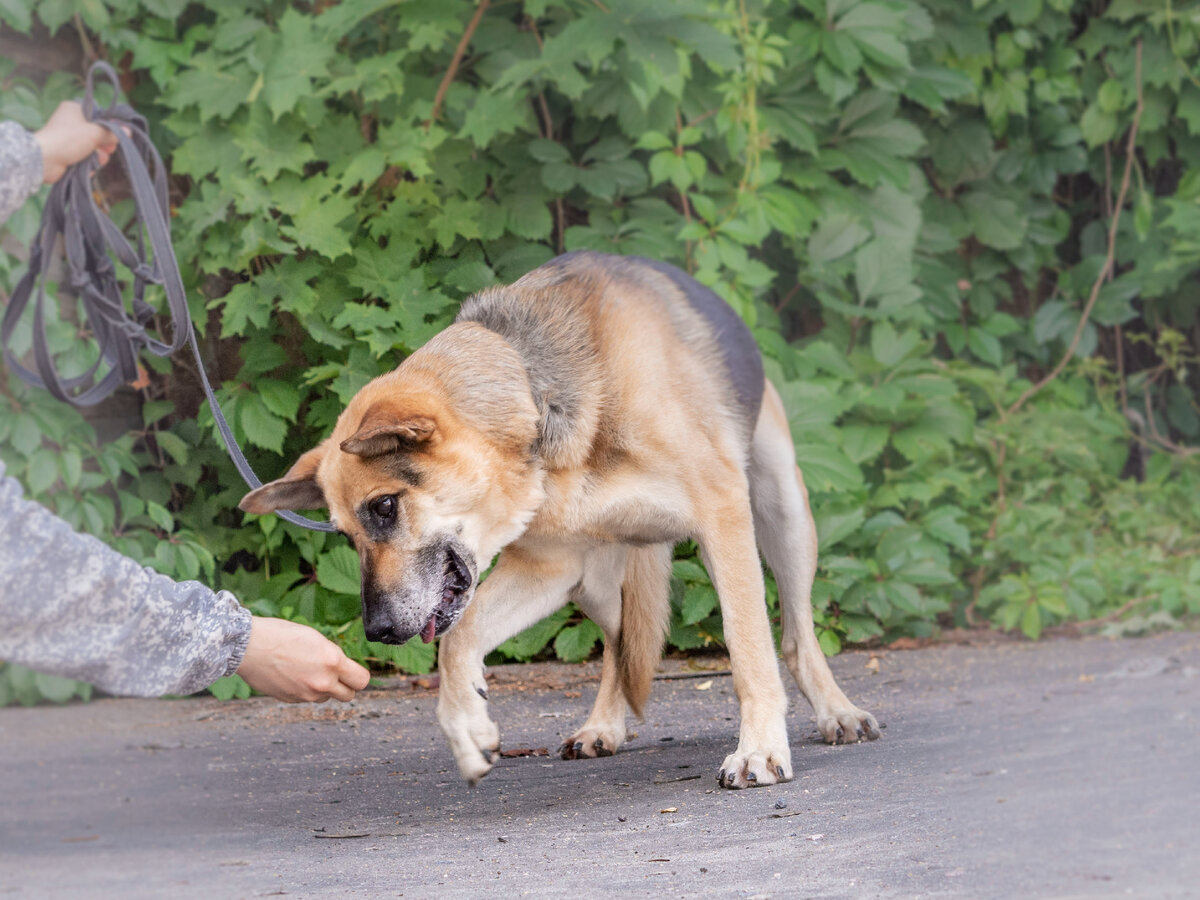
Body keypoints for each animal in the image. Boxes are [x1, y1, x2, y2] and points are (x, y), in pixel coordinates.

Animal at [241, 250, 883, 787]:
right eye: (345, 536)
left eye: (383, 506)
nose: (375, 631)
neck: (537, 400)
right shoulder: (546, 568)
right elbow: (458, 641)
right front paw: (467, 725)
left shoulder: (724, 521)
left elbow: (748, 648)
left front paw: (759, 750)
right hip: (593, 584)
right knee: (619, 650)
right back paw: (604, 724)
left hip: (783, 513)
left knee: (795, 634)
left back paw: (838, 712)